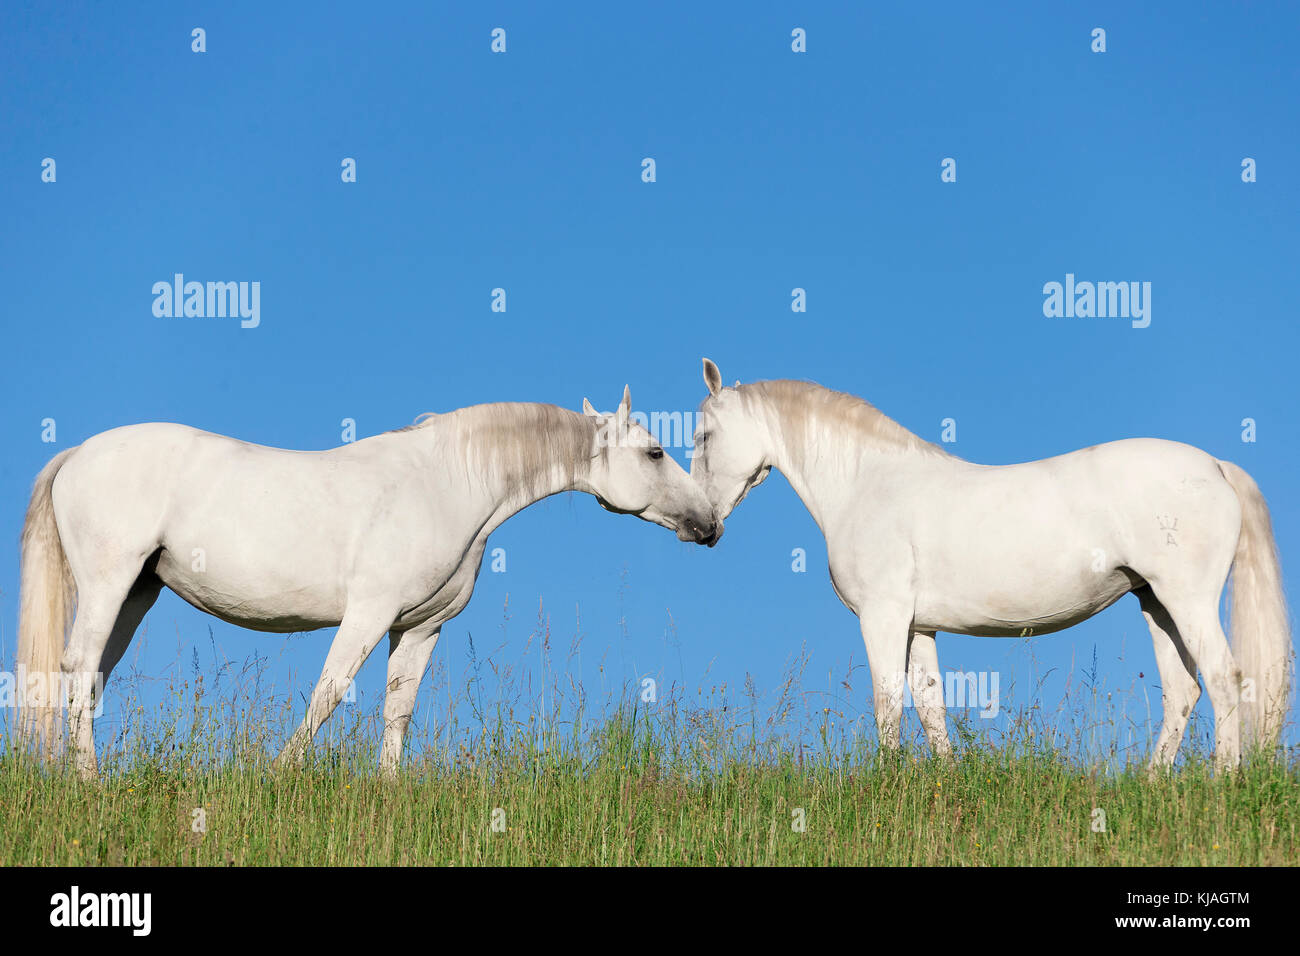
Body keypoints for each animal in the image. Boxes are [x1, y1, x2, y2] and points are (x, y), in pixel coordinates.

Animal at [15, 387, 717, 780]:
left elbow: (397, 710)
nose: (709, 521)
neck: (445, 484)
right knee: (78, 667)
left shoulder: (420, 627)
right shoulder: (369, 615)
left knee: (90, 676)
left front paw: (387, 791)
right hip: (108, 584)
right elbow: (329, 692)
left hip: (137, 591)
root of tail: (76, 455)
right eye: (655, 453)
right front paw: (278, 774)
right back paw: (87, 781)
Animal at [691, 358, 1289, 770]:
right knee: (1183, 691)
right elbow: (929, 704)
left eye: (703, 435)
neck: (867, 484)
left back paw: (1222, 781)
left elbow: (888, 701)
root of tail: (1215, 466)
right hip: (1155, 602)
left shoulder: (883, 617)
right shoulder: (919, 626)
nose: (702, 526)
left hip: (1188, 599)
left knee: (1224, 678)